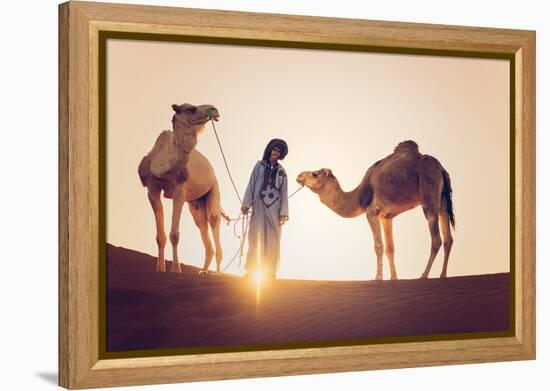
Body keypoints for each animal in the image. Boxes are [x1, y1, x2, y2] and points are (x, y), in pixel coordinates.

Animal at [138, 104, 226, 276]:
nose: (214, 109)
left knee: (213, 219)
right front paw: (160, 269)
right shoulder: (152, 189)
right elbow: (160, 236)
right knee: (201, 223)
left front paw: (176, 269)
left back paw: (217, 273)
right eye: (191, 109)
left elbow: (174, 234)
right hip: (196, 202)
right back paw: (203, 271)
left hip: (215, 188)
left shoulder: (179, 190)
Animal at [298, 141, 458, 282]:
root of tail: (441, 169)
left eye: (315, 174)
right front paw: (394, 278)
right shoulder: (386, 216)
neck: (358, 196)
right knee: (448, 238)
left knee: (436, 238)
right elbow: (390, 248)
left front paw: (378, 277)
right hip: (443, 200)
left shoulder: (372, 211)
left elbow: (379, 246)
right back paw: (443, 275)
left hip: (428, 194)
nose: (299, 175)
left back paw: (424, 275)